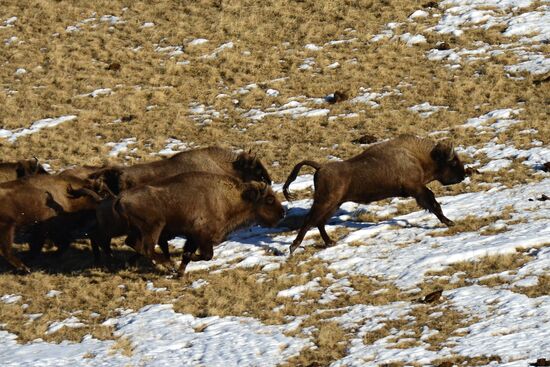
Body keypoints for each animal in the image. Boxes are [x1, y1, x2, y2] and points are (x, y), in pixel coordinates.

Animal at [96, 172, 284, 276]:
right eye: (269, 199)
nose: (282, 213)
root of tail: (120, 197)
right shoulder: (201, 236)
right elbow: (206, 255)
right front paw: (180, 267)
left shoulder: (193, 238)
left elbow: (190, 254)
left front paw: (180, 273)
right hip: (154, 226)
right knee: (146, 248)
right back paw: (168, 265)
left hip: (139, 230)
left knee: (134, 244)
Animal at [282, 135, 468, 256]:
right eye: (452, 162)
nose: (463, 175)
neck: (417, 157)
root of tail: (320, 167)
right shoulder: (417, 189)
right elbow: (433, 203)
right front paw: (449, 222)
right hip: (325, 202)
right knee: (310, 221)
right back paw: (293, 247)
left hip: (334, 204)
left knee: (319, 222)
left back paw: (330, 243)